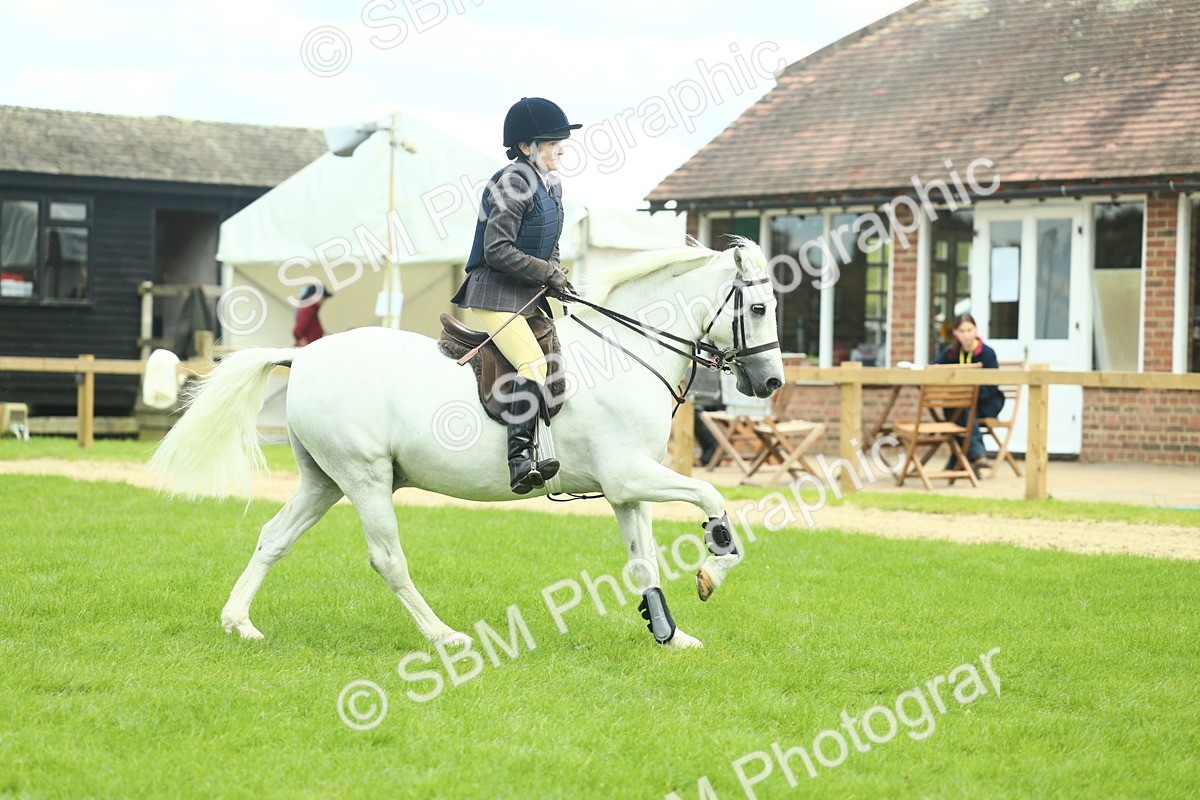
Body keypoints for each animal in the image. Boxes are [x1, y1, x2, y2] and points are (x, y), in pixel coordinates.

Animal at [150, 237, 785, 649]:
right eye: (757, 307)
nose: (770, 383)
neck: (627, 353)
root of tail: (303, 355)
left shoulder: (626, 489)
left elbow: (642, 559)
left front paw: (670, 635)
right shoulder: (630, 474)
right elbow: (710, 499)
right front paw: (712, 571)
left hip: (323, 480)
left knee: (274, 537)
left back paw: (239, 623)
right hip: (364, 477)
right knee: (387, 559)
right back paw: (443, 635)